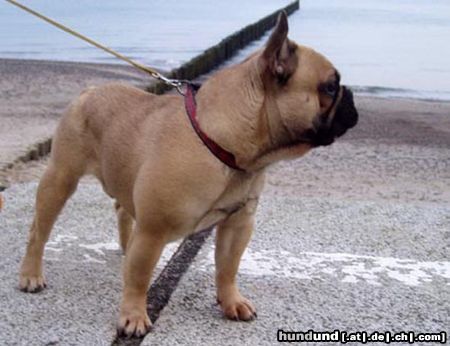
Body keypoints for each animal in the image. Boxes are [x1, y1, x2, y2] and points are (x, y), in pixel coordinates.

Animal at [18, 12, 358, 336]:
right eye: (330, 86)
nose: (351, 94)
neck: (223, 142)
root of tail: (88, 91)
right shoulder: (153, 231)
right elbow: (140, 277)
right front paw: (133, 316)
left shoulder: (238, 223)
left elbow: (227, 267)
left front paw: (231, 302)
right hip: (60, 179)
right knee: (39, 231)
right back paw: (31, 274)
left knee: (122, 209)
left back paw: (124, 247)